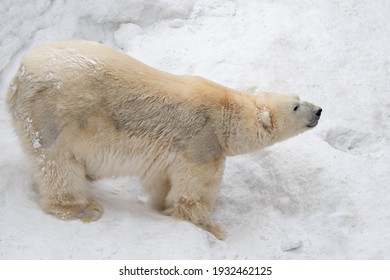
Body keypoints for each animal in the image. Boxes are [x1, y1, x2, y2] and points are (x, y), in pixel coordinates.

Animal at [7, 40, 322, 240]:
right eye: (296, 106)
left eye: (299, 97)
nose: (319, 110)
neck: (226, 114)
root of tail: (18, 77)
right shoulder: (203, 143)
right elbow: (193, 193)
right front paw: (212, 227)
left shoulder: (170, 153)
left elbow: (162, 182)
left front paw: (162, 206)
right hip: (54, 117)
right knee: (57, 164)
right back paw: (81, 207)